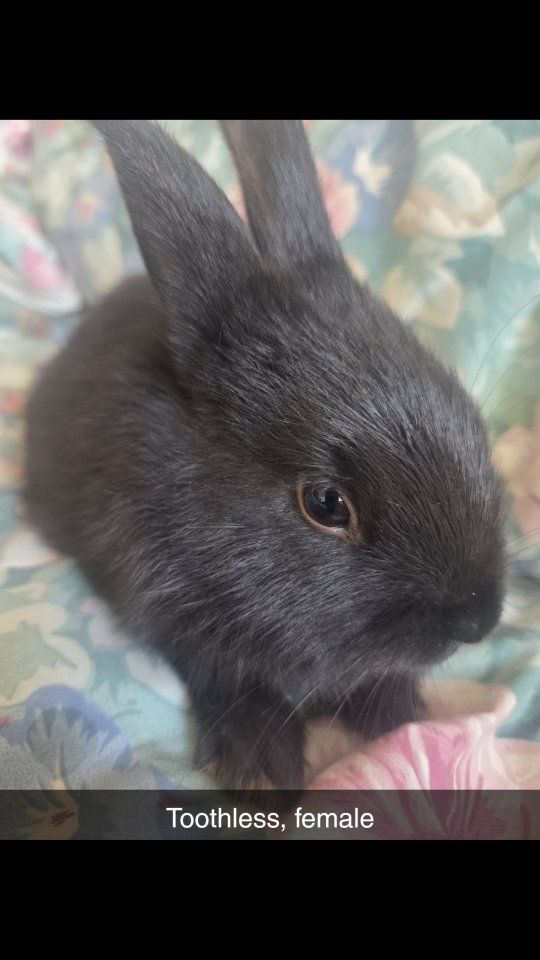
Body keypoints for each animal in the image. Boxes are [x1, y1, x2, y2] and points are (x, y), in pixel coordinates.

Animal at [24, 119, 506, 790]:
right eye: (326, 504)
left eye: (469, 413)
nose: (479, 619)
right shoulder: (176, 619)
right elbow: (233, 682)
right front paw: (260, 765)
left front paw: (400, 715)